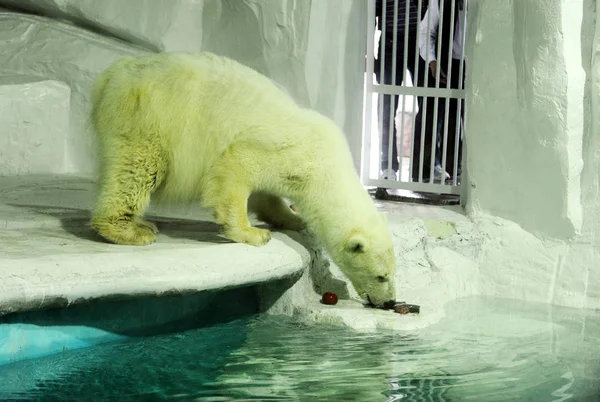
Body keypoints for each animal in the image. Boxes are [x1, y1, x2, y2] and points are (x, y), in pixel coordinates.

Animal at [90, 51, 398, 308]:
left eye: (393, 272)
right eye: (381, 276)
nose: (390, 302)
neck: (326, 168)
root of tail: (114, 74)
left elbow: (268, 195)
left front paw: (294, 219)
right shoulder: (279, 150)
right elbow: (235, 167)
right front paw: (254, 234)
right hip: (150, 117)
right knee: (137, 167)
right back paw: (132, 230)